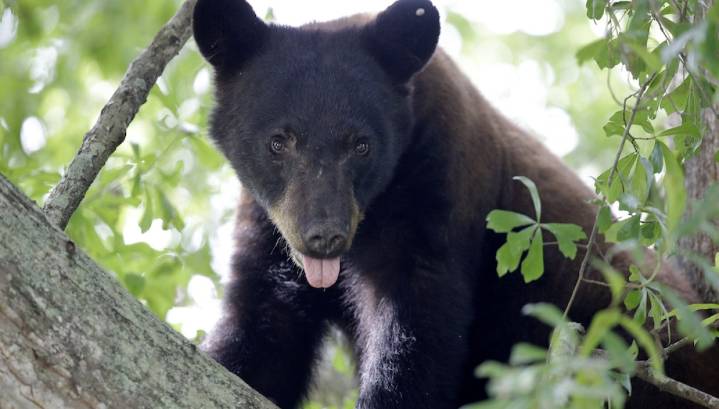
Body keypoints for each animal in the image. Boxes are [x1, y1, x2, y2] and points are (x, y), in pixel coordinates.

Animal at [192, 0, 719, 408]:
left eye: (361, 145)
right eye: (278, 141)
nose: (324, 236)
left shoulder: (439, 187)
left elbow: (417, 327)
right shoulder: (269, 228)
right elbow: (262, 328)